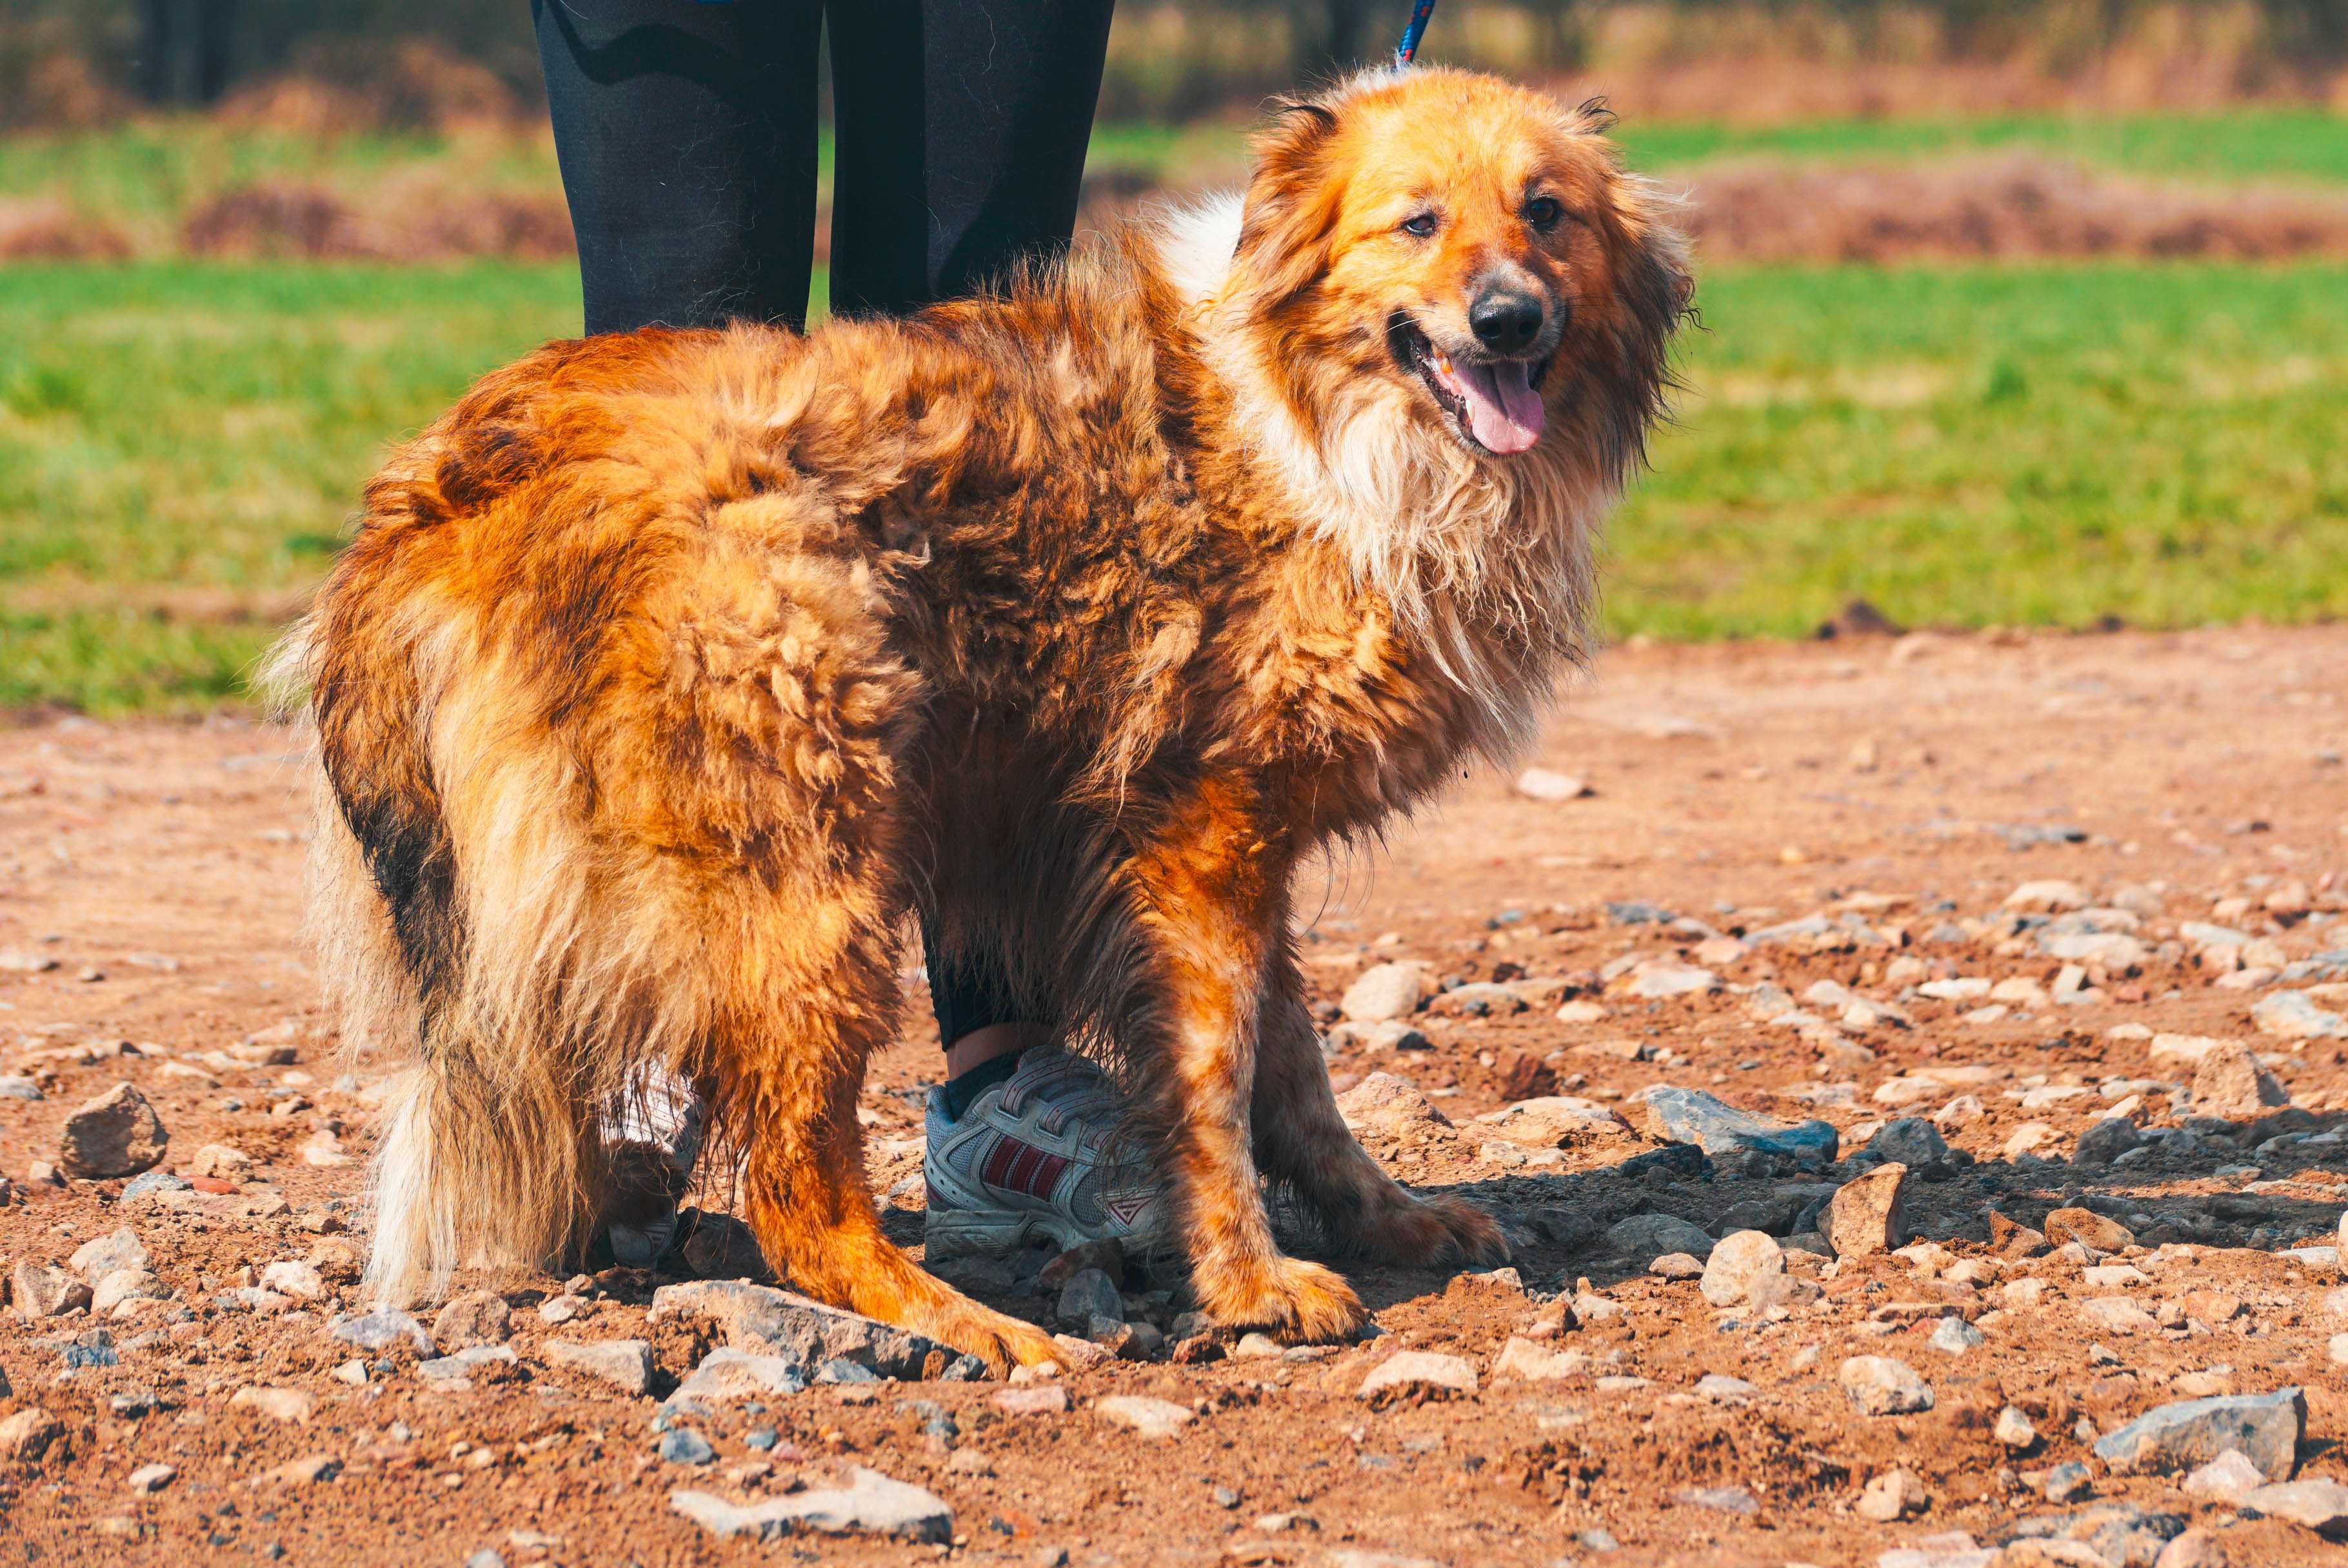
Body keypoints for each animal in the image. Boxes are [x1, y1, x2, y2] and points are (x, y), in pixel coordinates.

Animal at [274, 67, 1690, 1361]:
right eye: (1415, 221)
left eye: (1546, 212)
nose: (1508, 320)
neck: (1319, 420)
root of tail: (447, 484)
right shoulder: (1201, 839)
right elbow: (1215, 1081)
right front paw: (1246, 1280)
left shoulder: (1231, 839)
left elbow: (1295, 1072)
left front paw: (1381, 1217)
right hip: (815, 870)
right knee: (792, 1186)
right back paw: (958, 1322)